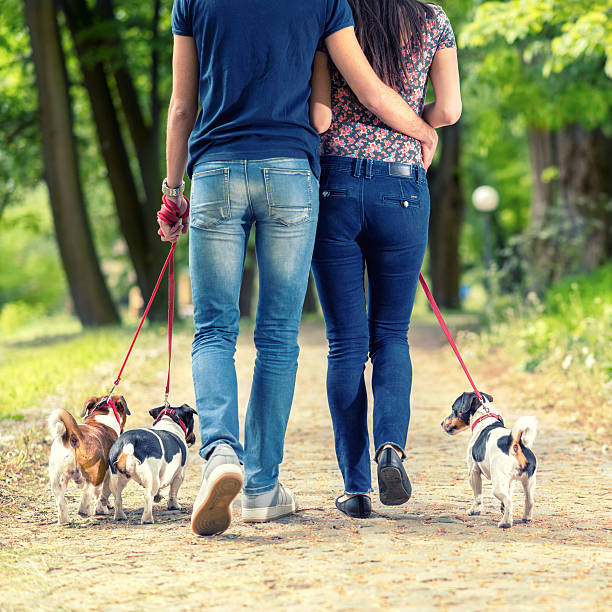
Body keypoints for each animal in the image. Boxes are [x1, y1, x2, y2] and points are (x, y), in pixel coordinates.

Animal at [49, 396, 131, 524]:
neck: (102, 413)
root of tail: (74, 436)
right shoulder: (109, 473)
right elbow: (103, 493)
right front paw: (102, 508)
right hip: (96, 473)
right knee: (89, 491)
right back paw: (85, 510)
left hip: (57, 480)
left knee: (61, 501)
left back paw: (64, 520)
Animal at [440, 394, 536, 528]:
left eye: (453, 409)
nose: (441, 423)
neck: (485, 420)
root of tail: (516, 445)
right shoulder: (510, 481)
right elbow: (508, 495)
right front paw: (502, 509)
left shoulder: (473, 471)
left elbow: (478, 496)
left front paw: (474, 511)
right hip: (528, 482)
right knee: (529, 500)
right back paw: (526, 518)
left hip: (497, 485)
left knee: (509, 501)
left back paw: (505, 523)